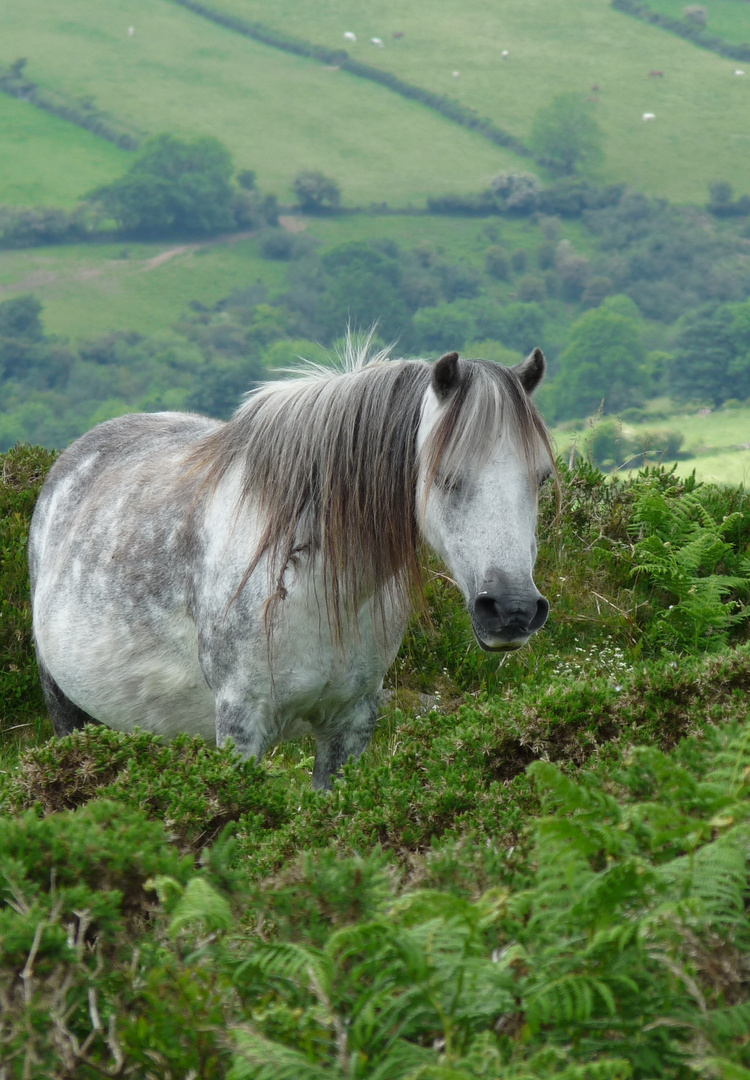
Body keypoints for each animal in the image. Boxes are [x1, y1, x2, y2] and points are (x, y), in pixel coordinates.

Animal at [29, 343, 553, 786]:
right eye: (445, 477)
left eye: (543, 477)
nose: (512, 610)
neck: (313, 585)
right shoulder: (241, 721)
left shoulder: (350, 723)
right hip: (68, 711)